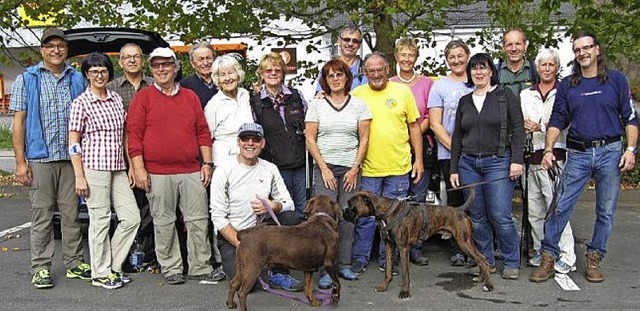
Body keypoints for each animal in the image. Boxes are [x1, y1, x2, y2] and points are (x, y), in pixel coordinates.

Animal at [344, 190, 496, 300]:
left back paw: (488, 286)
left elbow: (405, 274)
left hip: (464, 242)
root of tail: (460, 210)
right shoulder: (388, 246)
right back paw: (480, 279)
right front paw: (384, 286)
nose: (343, 210)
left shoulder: (403, 248)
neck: (387, 211)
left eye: (351, 205)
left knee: (482, 260)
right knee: (482, 258)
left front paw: (405, 292)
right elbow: (388, 270)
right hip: (466, 242)